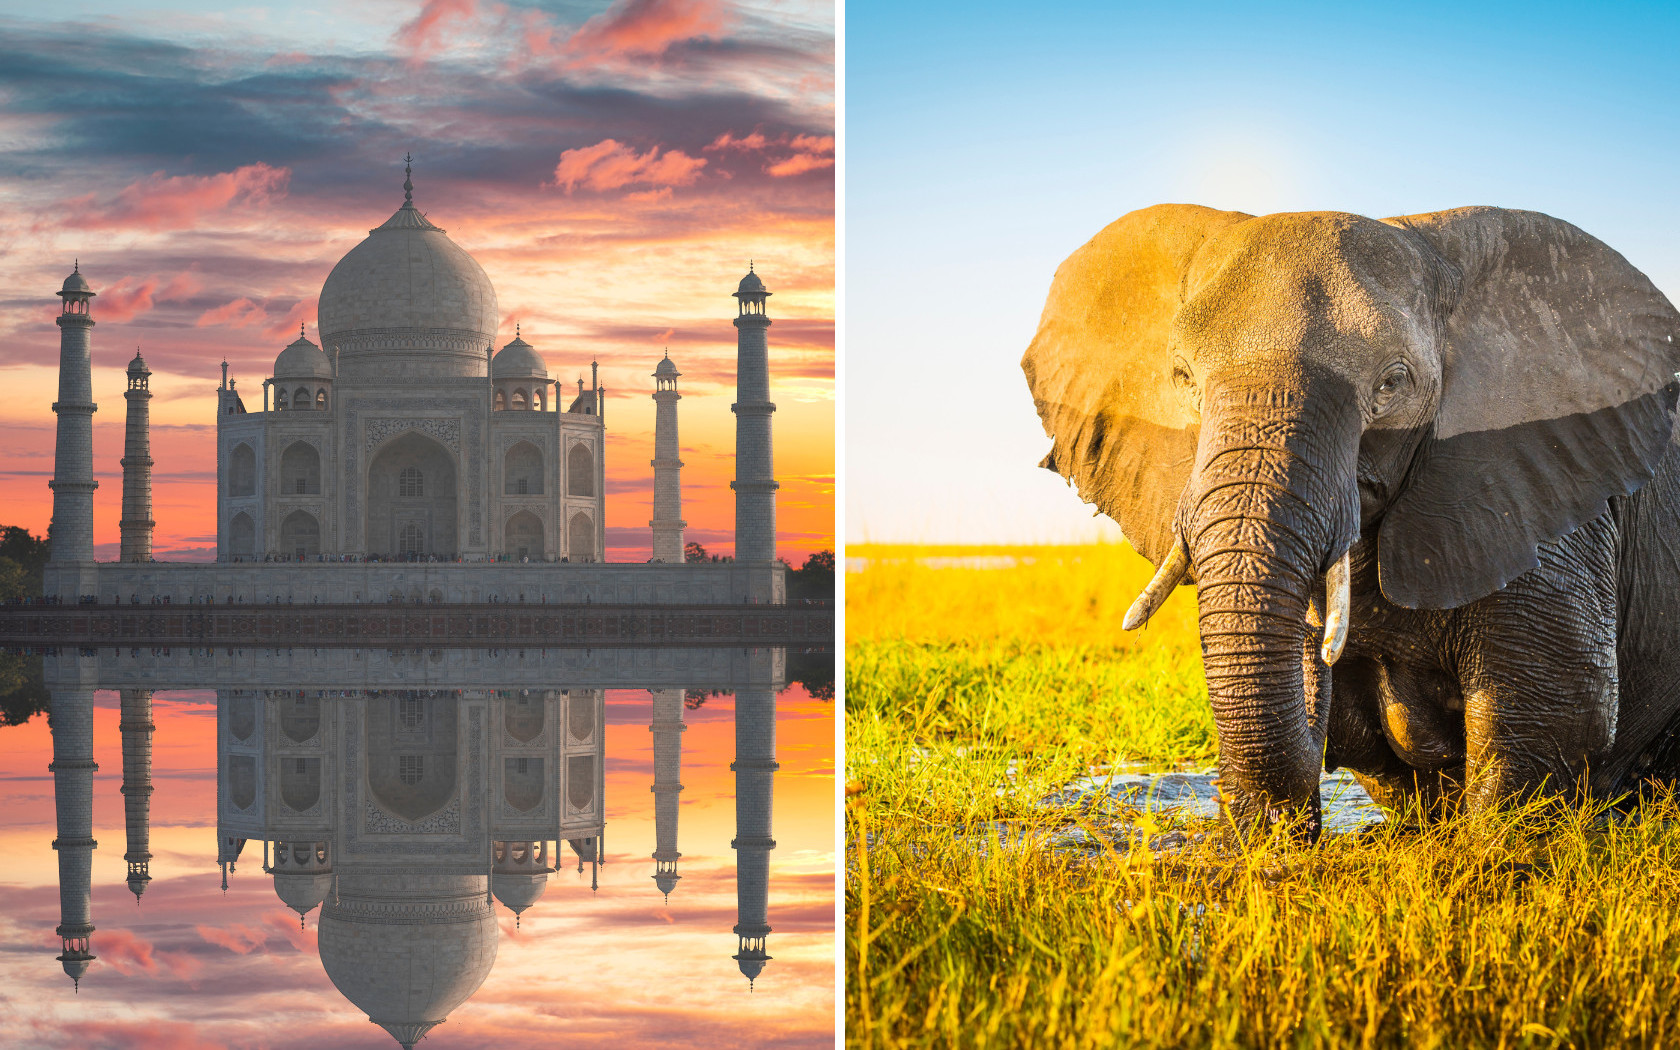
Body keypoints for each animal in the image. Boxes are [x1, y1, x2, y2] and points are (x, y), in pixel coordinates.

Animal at [1021, 203, 1680, 838]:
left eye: (1392, 382)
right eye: (1182, 377)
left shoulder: (1541, 484)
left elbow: (1557, 707)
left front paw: (1491, 852)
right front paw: (1269, 845)